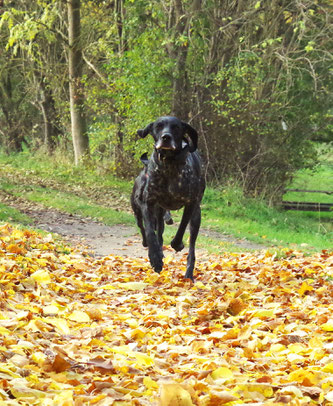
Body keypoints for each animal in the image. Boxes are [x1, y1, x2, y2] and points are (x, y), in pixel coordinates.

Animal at [130, 116, 205, 280]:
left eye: (176, 127)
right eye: (158, 126)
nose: (166, 137)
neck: (169, 164)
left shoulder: (190, 204)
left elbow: (181, 229)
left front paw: (178, 244)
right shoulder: (148, 203)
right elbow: (150, 232)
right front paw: (155, 258)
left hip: (196, 216)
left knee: (192, 248)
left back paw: (189, 273)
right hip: (157, 212)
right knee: (157, 233)